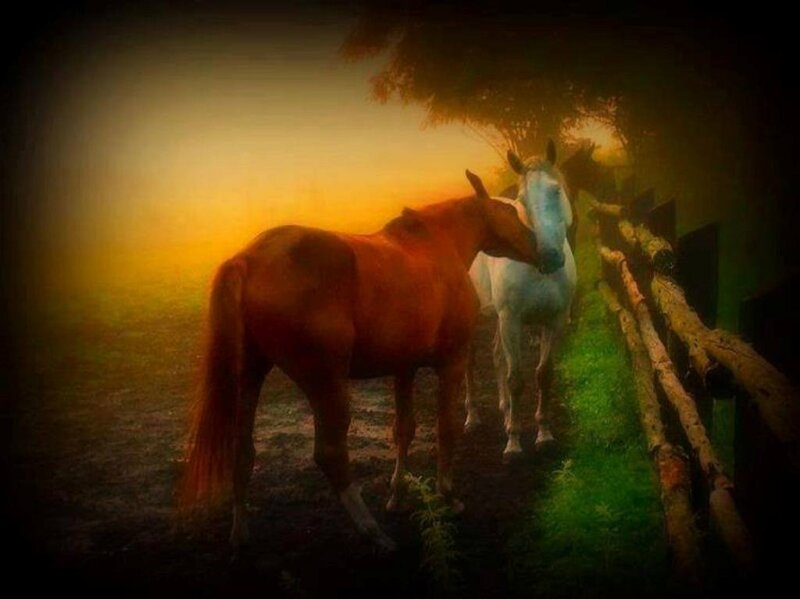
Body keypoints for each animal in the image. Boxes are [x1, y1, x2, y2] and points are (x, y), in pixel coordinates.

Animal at [179, 169, 554, 551]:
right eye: (511, 213)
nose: (548, 254)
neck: (438, 246)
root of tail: (249, 259)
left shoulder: (404, 368)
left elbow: (404, 430)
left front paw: (398, 495)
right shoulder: (451, 363)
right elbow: (445, 429)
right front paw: (448, 496)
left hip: (250, 376)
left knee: (242, 450)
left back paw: (240, 532)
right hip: (326, 384)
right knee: (330, 453)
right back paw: (372, 529)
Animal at [464, 140, 577, 460]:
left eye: (555, 190)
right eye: (522, 199)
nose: (549, 256)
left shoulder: (553, 321)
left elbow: (544, 375)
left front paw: (544, 435)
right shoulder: (512, 321)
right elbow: (517, 380)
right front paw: (513, 443)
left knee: (497, 356)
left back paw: (504, 411)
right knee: (471, 361)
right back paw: (472, 417)